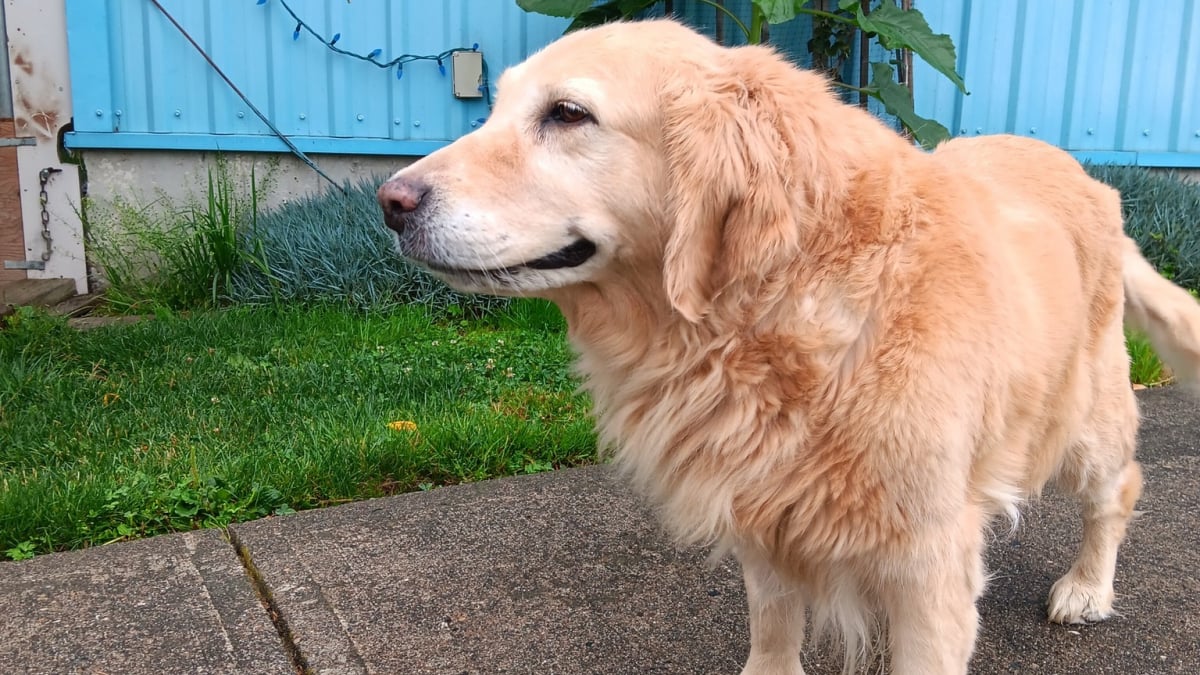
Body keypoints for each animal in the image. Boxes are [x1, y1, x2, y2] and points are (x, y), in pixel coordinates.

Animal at [379, 18, 1200, 667]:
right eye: (496, 108)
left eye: (568, 114)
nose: (390, 201)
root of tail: (1091, 179)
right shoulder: (764, 514)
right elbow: (774, 628)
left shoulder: (929, 562)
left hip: (1081, 419)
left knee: (1119, 487)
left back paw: (1087, 587)